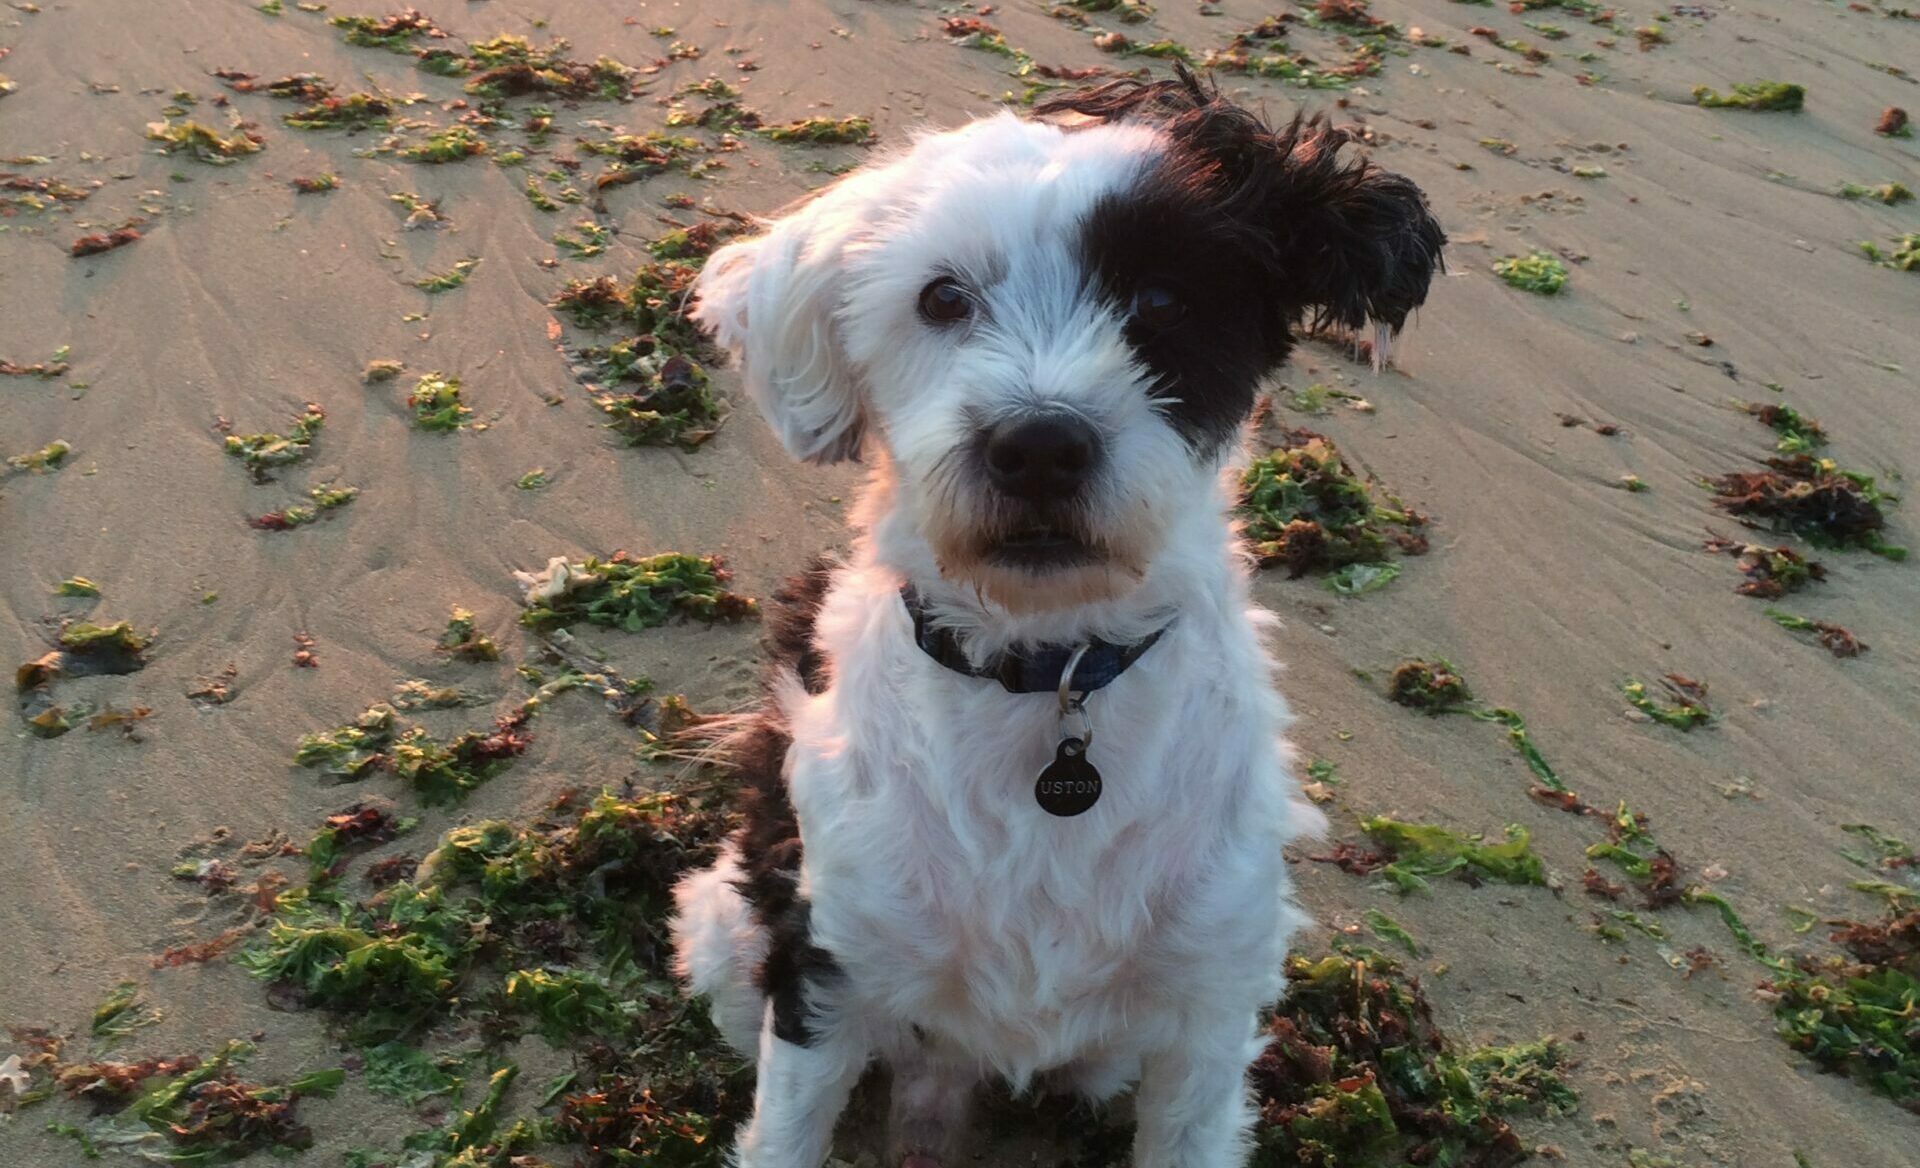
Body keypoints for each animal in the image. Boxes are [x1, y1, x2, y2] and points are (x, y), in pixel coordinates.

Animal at [668, 68, 1436, 1168]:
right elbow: (785, 1134)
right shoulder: (824, 966)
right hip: (732, 932)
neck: (1049, 668)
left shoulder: (1208, 1015)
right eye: (943, 297)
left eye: (1162, 299)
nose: (1037, 446)